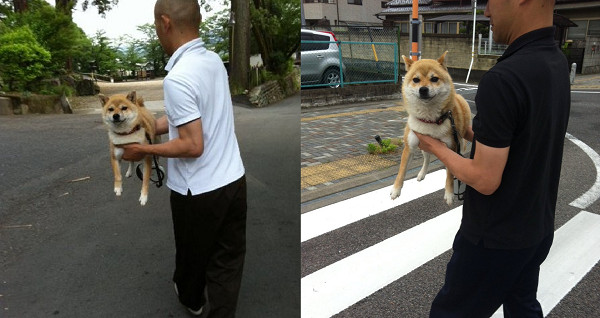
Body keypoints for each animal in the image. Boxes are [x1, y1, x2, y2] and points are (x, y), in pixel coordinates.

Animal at [390, 52, 474, 205]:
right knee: (427, 158)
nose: (423, 89)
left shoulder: (451, 147)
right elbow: (402, 170)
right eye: (416, 80)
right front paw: (396, 189)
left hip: (459, 138)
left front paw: (449, 193)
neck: (429, 119)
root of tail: (459, 96)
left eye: (434, 79)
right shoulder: (410, 146)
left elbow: (449, 174)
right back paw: (422, 173)